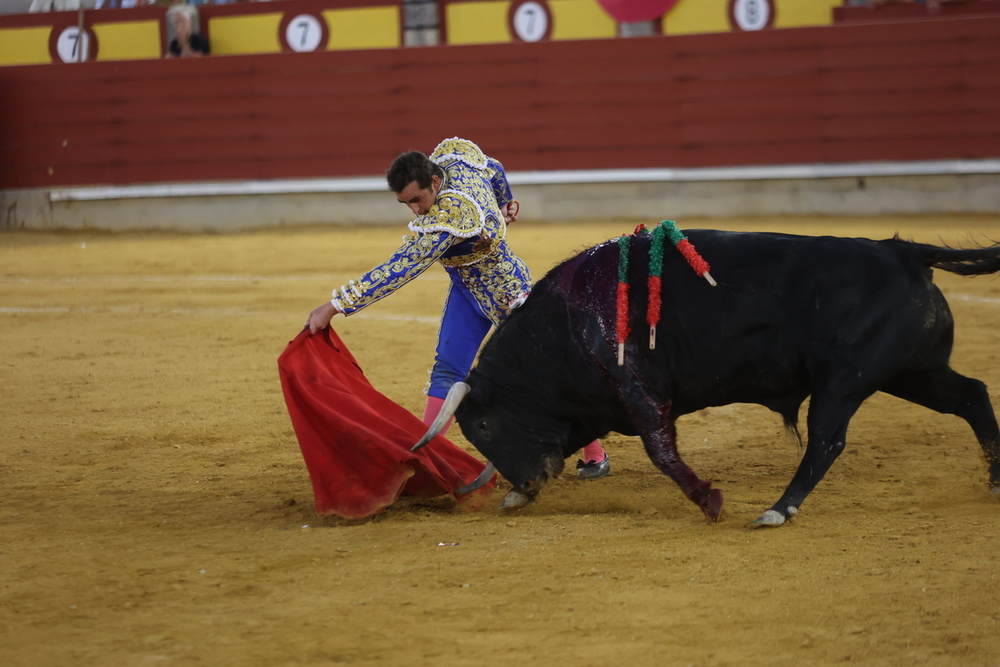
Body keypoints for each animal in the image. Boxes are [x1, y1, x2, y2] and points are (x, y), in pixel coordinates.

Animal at [412, 232, 1000, 528]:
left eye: (483, 425)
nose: (528, 484)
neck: (560, 331)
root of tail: (901, 250)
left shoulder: (640, 390)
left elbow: (662, 453)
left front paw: (709, 502)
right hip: (912, 371)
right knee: (972, 395)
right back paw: (995, 480)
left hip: (844, 379)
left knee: (826, 441)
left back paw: (778, 509)